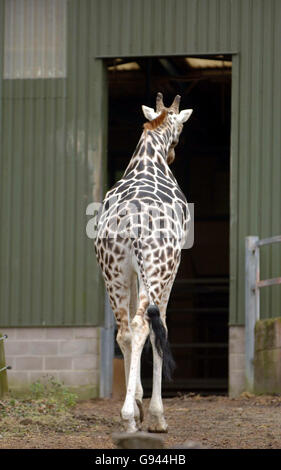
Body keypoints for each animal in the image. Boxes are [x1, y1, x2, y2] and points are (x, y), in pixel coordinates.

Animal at [95, 92, 191, 434]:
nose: (174, 153)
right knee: (142, 326)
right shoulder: (172, 267)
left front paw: (137, 401)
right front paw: (157, 417)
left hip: (113, 272)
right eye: (180, 129)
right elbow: (161, 327)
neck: (148, 159)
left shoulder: (134, 272)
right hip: (156, 267)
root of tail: (131, 221)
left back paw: (130, 413)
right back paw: (133, 418)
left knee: (125, 330)